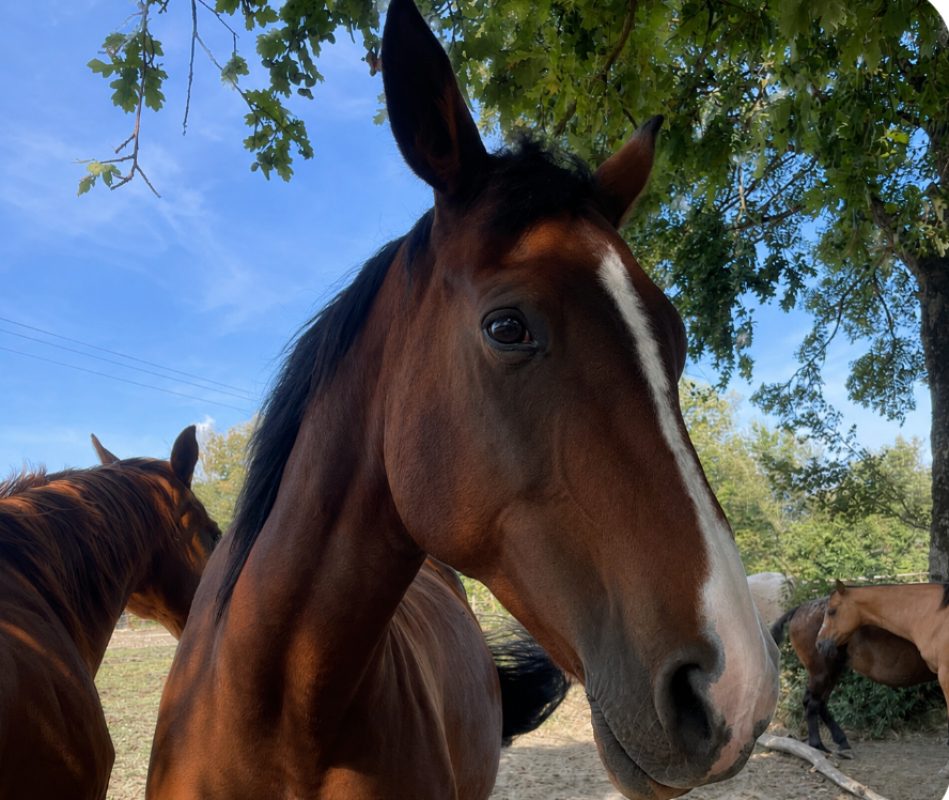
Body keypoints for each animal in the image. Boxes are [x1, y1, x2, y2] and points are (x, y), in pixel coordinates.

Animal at [773, 594, 935, 755]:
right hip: (821, 673)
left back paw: (840, 741)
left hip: (832, 671)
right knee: (813, 703)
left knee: (820, 702)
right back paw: (817, 744)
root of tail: (800, 609)